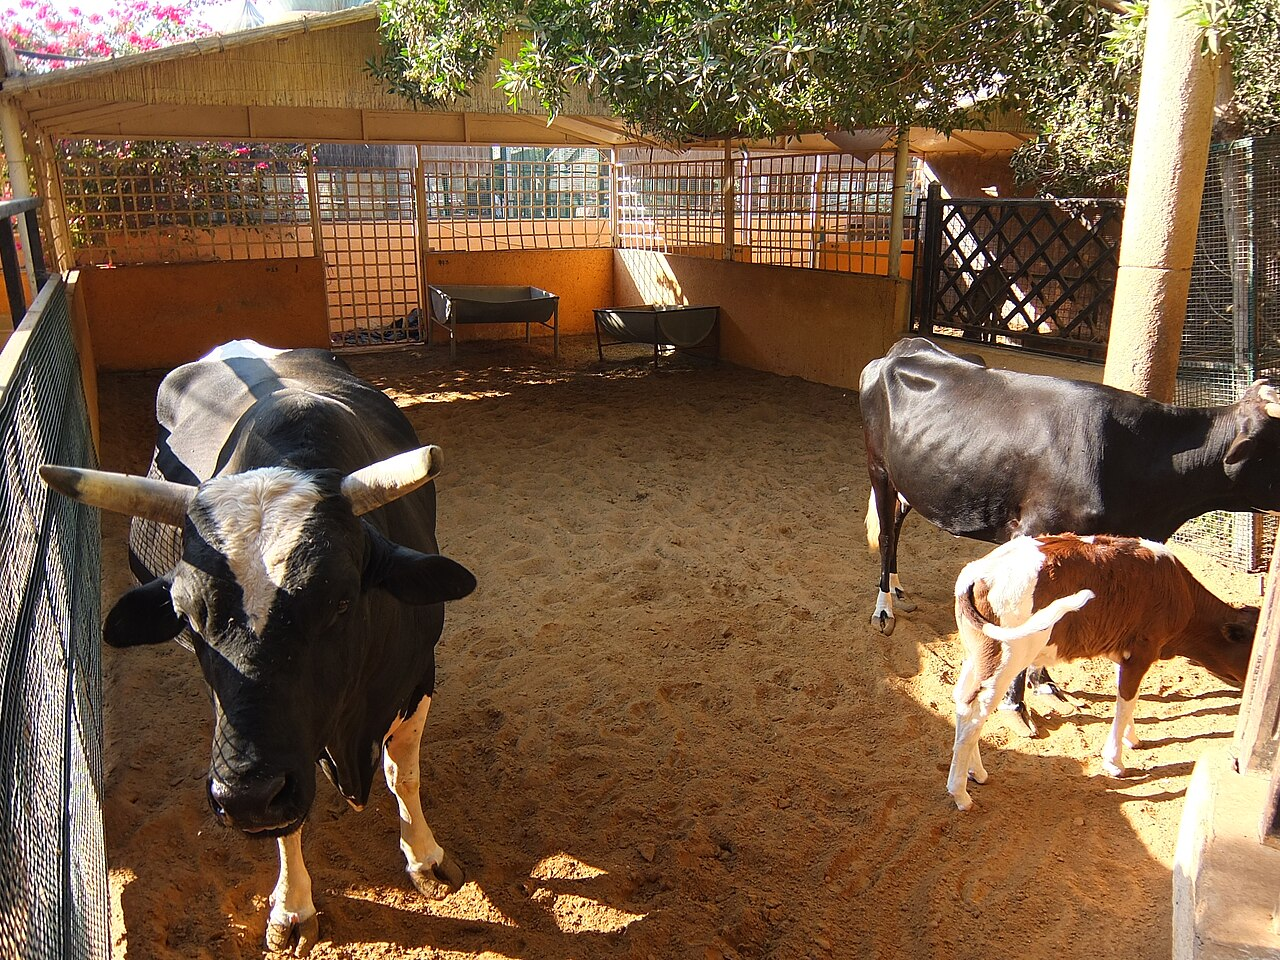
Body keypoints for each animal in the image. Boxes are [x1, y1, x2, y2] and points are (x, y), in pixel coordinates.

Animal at [40, 340, 477, 955]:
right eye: (187, 615)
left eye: (340, 602)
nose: (244, 798)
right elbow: (289, 822)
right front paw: (293, 907)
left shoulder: (418, 675)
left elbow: (403, 774)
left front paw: (426, 857)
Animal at [859, 337, 1280, 732]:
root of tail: (905, 347)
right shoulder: (1033, 534)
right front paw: (1016, 706)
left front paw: (1043, 684)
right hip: (879, 468)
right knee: (885, 533)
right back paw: (884, 609)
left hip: (916, 480)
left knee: (895, 525)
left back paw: (898, 590)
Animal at [947, 534, 1256, 810]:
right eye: (1252, 653)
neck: (1180, 593)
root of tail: (976, 571)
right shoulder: (1142, 651)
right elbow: (1126, 701)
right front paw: (1115, 761)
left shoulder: (1125, 652)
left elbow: (1130, 700)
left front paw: (1132, 738)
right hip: (1008, 658)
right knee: (975, 714)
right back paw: (961, 794)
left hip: (977, 657)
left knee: (963, 702)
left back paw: (977, 773)